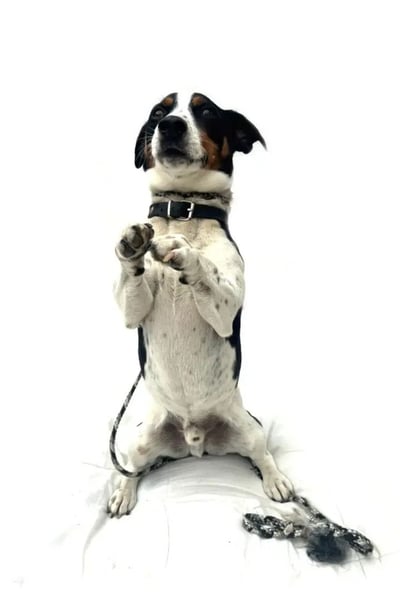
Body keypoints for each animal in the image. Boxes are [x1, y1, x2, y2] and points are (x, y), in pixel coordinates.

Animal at [107, 92, 294, 517]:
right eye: (158, 112)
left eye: (205, 110)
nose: (170, 125)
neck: (185, 212)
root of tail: (195, 441)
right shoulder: (132, 310)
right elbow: (131, 278)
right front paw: (131, 247)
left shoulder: (224, 309)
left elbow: (204, 269)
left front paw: (183, 253)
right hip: (139, 442)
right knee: (131, 469)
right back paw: (122, 491)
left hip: (250, 429)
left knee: (263, 455)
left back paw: (276, 482)